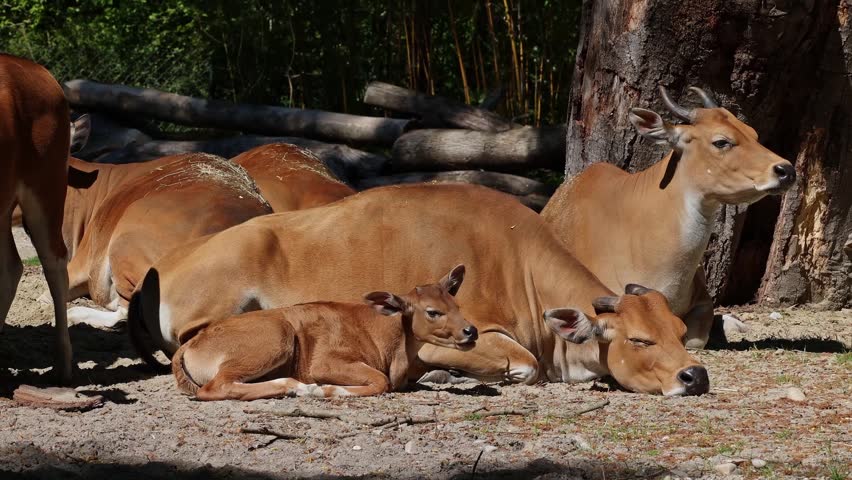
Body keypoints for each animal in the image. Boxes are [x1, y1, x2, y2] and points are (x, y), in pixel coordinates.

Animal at [172, 265, 478, 400]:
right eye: (432, 311)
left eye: (456, 305)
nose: (470, 331)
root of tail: (190, 345)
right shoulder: (324, 363)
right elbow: (380, 382)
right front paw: (326, 389)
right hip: (276, 338)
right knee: (215, 388)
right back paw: (297, 387)